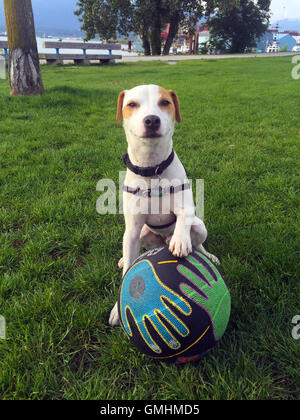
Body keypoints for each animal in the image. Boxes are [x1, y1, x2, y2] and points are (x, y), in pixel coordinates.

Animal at [108, 83, 218, 326]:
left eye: (165, 102)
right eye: (132, 104)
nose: (151, 120)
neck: (152, 168)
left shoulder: (187, 206)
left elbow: (184, 217)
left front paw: (180, 241)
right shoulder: (132, 229)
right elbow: (128, 269)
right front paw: (117, 309)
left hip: (200, 227)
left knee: (198, 243)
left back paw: (206, 254)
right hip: (142, 234)